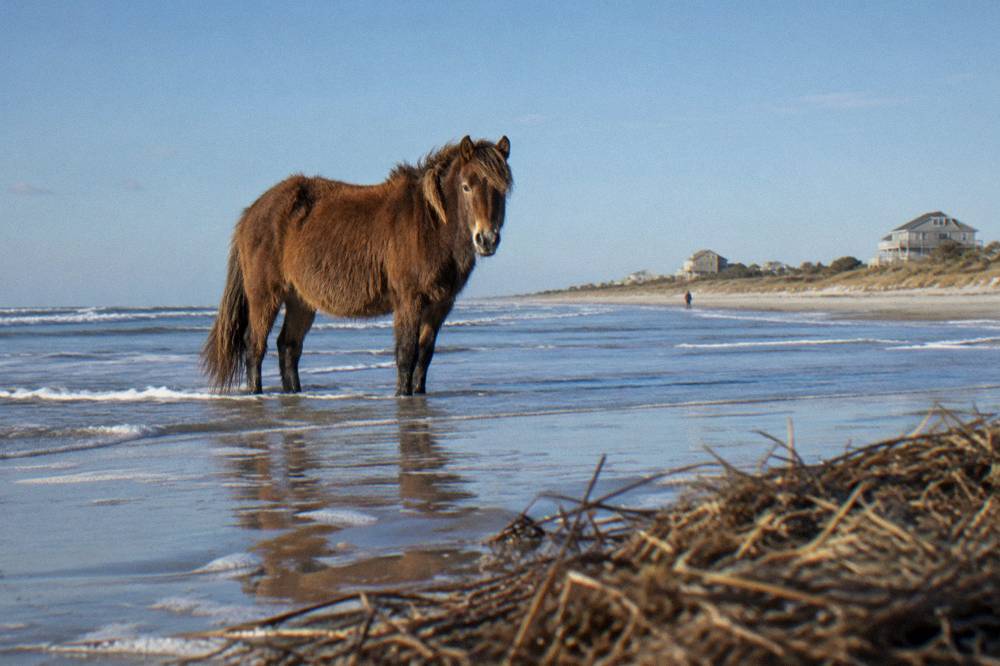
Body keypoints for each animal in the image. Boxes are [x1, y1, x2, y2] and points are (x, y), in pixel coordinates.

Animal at [201, 135, 512, 396]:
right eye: (466, 186)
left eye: (502, 190)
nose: (486, 239)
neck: (431, 224)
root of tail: (251, 212)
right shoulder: (409, 300)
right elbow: (406, 354)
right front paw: (402, 396)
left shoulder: (440, 306)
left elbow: (425, 356)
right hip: (265, 296)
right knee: (255, 346)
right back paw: (257, 393)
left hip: (300, 299)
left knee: (288, 347)